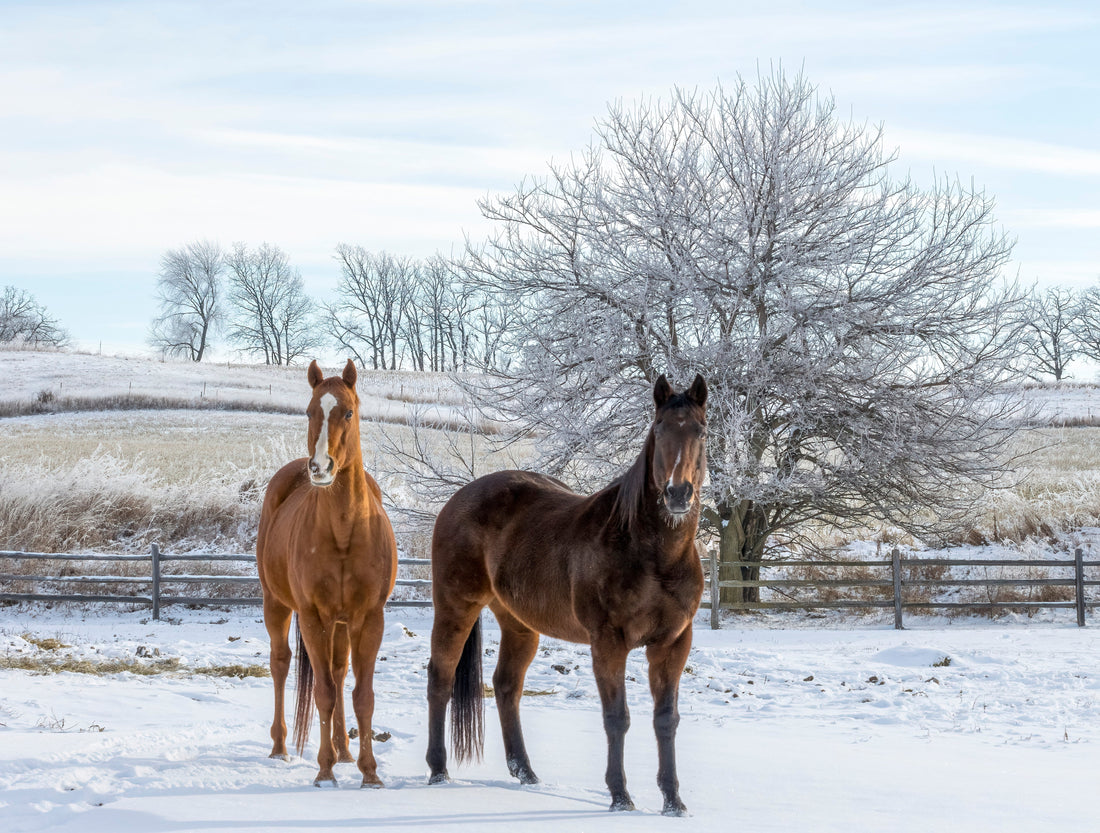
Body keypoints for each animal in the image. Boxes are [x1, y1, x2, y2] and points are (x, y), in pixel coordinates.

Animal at [256, 358, 398, 788]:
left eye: (348, 412)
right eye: (308, 412)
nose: (320, 467)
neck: (345, 531)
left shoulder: (369, 618)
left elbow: (361, 695)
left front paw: (370, 773)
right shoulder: (313, 616)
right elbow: (324, 693)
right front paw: (324, 771)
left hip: (341, 625)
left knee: (338, 671)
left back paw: (345, 751)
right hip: (277, 606)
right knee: (281, 664)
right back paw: (281, 747)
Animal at [426, 374, 708, 815]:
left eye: (701, 431)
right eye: (660, 429)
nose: (678, 494)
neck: (652, 552)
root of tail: (458, 499)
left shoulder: (673, 643)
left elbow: (666, 719)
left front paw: (673, 802)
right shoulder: (608, 643)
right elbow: (617, 718)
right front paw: (620, 797)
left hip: (519, 624)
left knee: (507, 686)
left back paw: (525, 772)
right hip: (456, 607)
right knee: (441, 677)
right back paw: (438, 771)